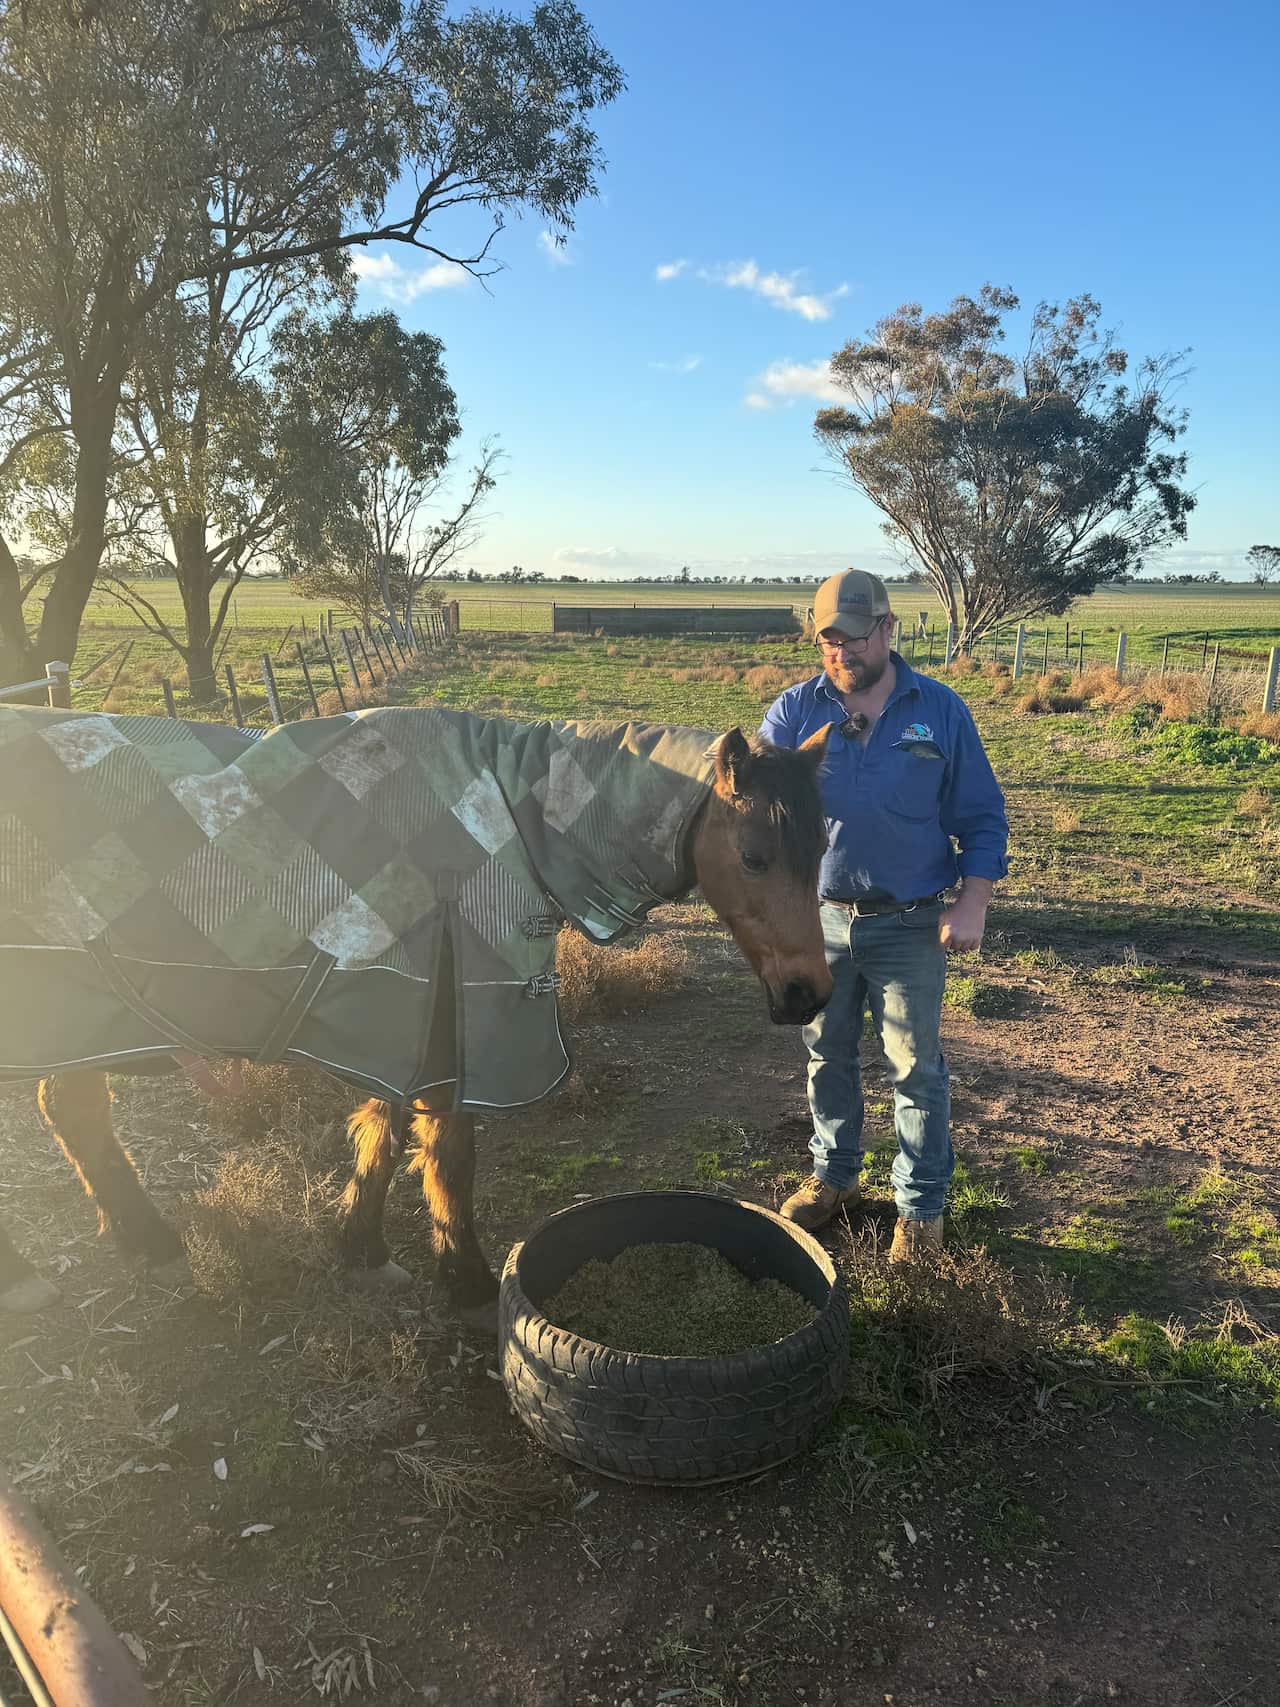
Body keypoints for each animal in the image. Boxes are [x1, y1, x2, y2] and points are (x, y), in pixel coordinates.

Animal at [0, 704, 833, 1320]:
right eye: (754, 854)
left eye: (822, 849)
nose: (809, 993)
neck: (511, 811)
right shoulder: (446, 1018)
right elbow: (447, 1154)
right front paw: (464, 1278)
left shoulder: (408, 1020)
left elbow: (386, 1132)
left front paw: (361, 1249)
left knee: (69, 1105)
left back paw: (143, 1239)